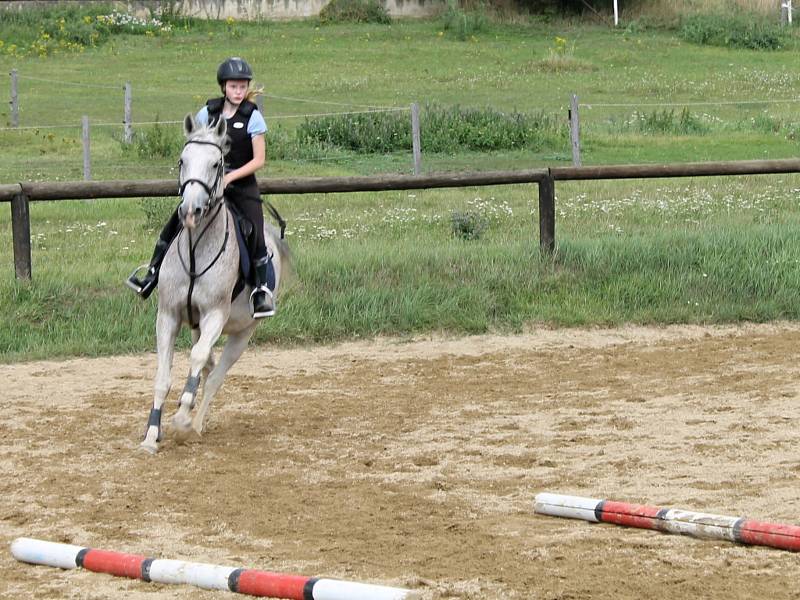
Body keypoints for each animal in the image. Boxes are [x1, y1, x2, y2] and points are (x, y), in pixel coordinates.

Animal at [141, 112, 290, 452]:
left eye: (215, 164)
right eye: (182, 160)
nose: (190, 210)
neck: (197, 251)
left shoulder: (215, 316)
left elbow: (198, 361)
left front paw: (181, 419)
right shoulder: (168, 315)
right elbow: (163, 377)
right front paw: (152, 435)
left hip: (243, 334)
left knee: (214, 375)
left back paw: (194, 423)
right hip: (197, 326)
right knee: (207, 364)